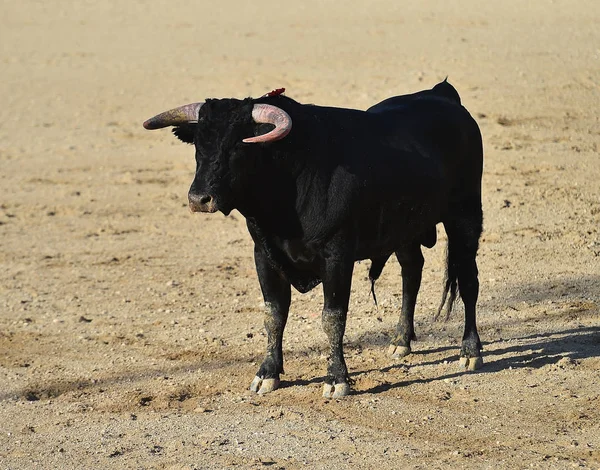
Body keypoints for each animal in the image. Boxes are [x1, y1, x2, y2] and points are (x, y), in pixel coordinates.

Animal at [144, 80, 482, 396]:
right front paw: (267, 373)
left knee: (468, 280)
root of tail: (442, 94)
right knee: (411, 272)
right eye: (198, 144)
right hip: (405, 230)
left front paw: (336, 379)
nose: (199, 199)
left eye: (239, 146)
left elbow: (332, 317)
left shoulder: (337, 257)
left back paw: (470, 351)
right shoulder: (264, 254)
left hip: (465, 217)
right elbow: (273, 314)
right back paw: (401, 341)